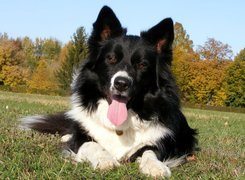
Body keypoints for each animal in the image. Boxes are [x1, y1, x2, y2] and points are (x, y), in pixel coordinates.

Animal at [20, 6, 197, 178]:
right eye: (111, 59)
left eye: (142, 64)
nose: (121, 84)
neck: (119, 126)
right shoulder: (83, 138)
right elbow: (90, 143)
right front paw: (105, 159)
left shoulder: (163, 142)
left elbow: (150, 150)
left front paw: (154, 166)